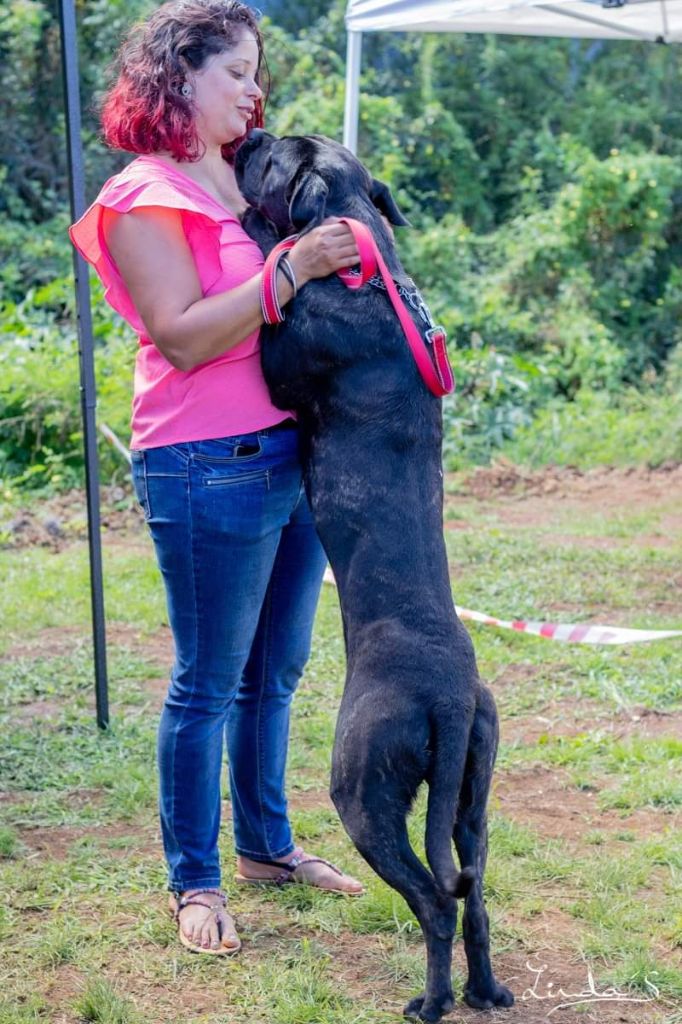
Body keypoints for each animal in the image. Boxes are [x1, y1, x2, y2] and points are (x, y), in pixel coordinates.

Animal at [233, 128, 509, 1024]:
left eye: (277, 157)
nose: (249, 135)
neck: (364, 254)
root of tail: (449, 694)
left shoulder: (280, 358)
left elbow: (272, 273)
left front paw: (263, 232)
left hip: (364, 789)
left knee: (431, 900)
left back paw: (432, 1001)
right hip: (473, 792)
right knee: (473, 894)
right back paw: (485, 990)